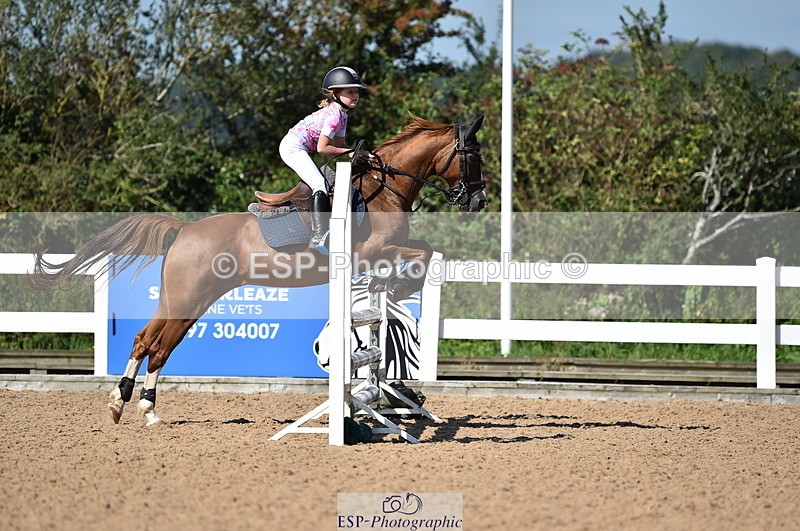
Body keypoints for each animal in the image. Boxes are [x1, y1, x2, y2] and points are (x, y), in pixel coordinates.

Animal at [30, 114, 487, 426]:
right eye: (474, 157)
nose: (479, 202)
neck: (383, 189)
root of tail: (184, 229)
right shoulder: (375, 249)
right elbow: (422, 254)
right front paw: (396, 284)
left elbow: (424, 252)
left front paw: (390, 286)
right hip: (190, 299)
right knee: (159, 348)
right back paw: (146, 408)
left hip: (177, 299)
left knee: (145, 340)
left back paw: (123, 402)